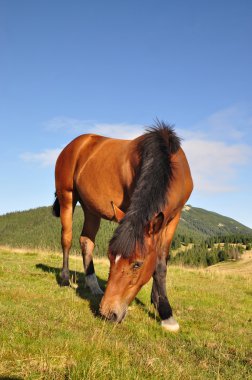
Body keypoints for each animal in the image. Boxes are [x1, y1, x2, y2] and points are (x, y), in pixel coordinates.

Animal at [52, 120, 192, 332]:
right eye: (110, 258)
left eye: (137, 264)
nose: (108, 313)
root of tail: (75, 144)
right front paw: (166, 312)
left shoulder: (173, 217)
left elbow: (161, 262)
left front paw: (160, 305)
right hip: (67, 197)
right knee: (66, 239)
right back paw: (65, 279)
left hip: (91, 209)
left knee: (86, 241)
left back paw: (93, 285)